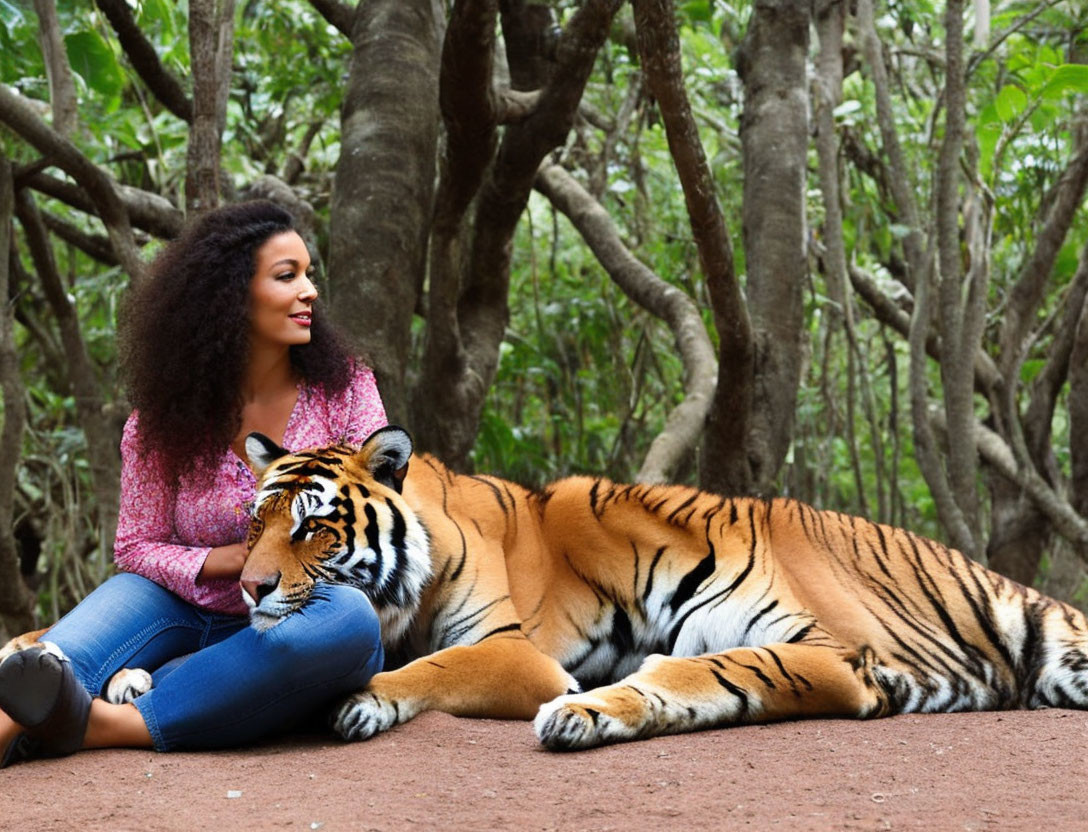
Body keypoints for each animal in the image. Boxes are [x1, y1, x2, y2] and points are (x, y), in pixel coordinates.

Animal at [6, 421, 1088, 748]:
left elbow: (432, 670)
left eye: (311, 526)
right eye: (251, 525)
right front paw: (136, 678)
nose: (253, 588)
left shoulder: (514, 649)